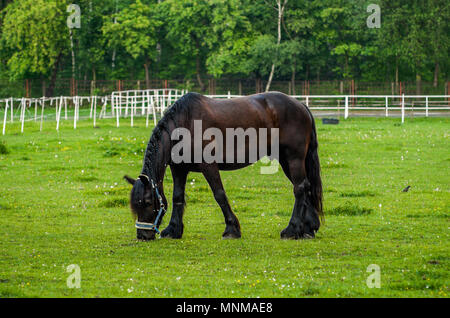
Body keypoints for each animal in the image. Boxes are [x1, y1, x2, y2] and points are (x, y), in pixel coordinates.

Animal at [125, 92, 322, 241]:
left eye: (147, 202)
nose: (142, 235)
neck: (185, 124)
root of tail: (300, 105)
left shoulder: (208, 166)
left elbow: (219, 194)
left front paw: (232, 229)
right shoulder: (179, 169)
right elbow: (177, 197)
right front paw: (173, 230)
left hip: (293, 158)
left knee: (299, 188)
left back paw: (292, 229)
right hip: (286, 160)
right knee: (305, 187)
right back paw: (308, 228)